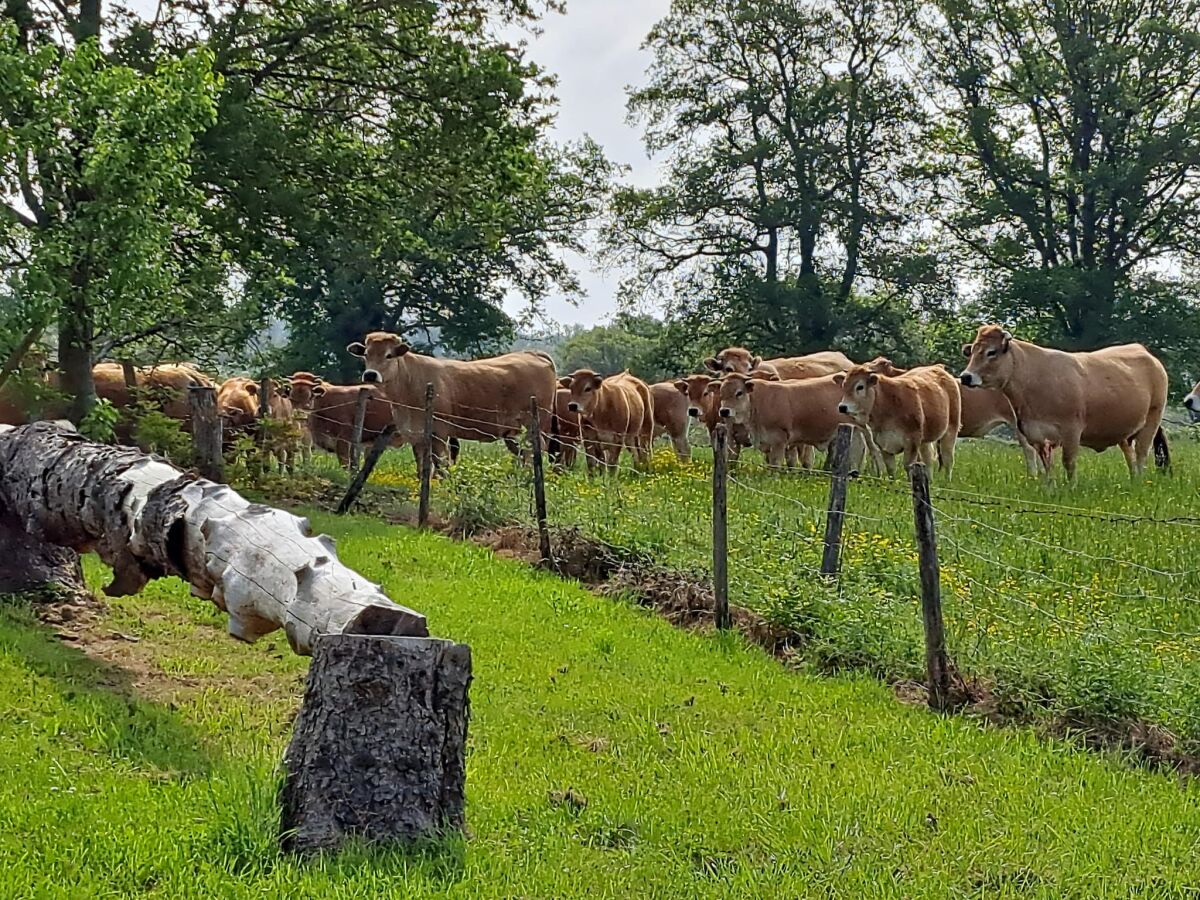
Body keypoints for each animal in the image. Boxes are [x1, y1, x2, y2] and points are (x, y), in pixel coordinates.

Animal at [705, 374, 868, 472]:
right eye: (721, 393)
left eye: (739, 392)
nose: (724, 411)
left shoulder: (779, 438)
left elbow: (775, 462)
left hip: (855, 430)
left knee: (858, 450)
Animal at [960, 324, 1166, 480]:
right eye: (972, 352)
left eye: (991, 352)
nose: (966, 377)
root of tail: (1140, 349)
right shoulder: (1035, 434)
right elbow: (1047, 466)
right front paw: (1051, 489)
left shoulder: (1071, 431)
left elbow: (1069, 463)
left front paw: (1071, 488)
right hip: (1124, 431)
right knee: (1130, 456)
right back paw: (1133, 481)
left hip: (1151, 420)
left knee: (1141, 455)